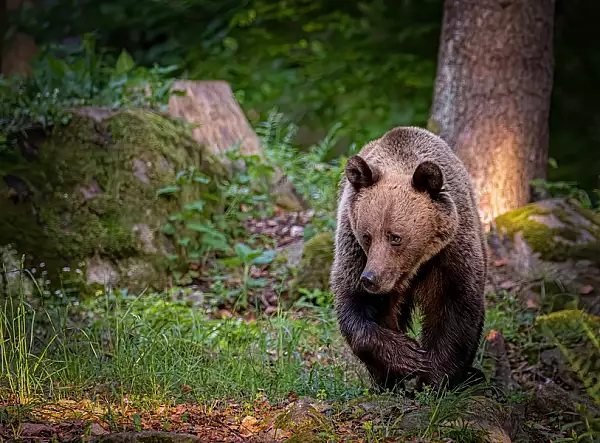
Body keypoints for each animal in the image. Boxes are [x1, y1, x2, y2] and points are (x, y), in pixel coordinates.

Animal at [332, 125, 488, 392]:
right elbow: (355, 305)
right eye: (367, 235)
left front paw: (433, 378)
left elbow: (456, 308)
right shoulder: (353, 249)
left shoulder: (451, 252)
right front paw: (406, 355)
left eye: (395, 237)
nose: (371, 278)